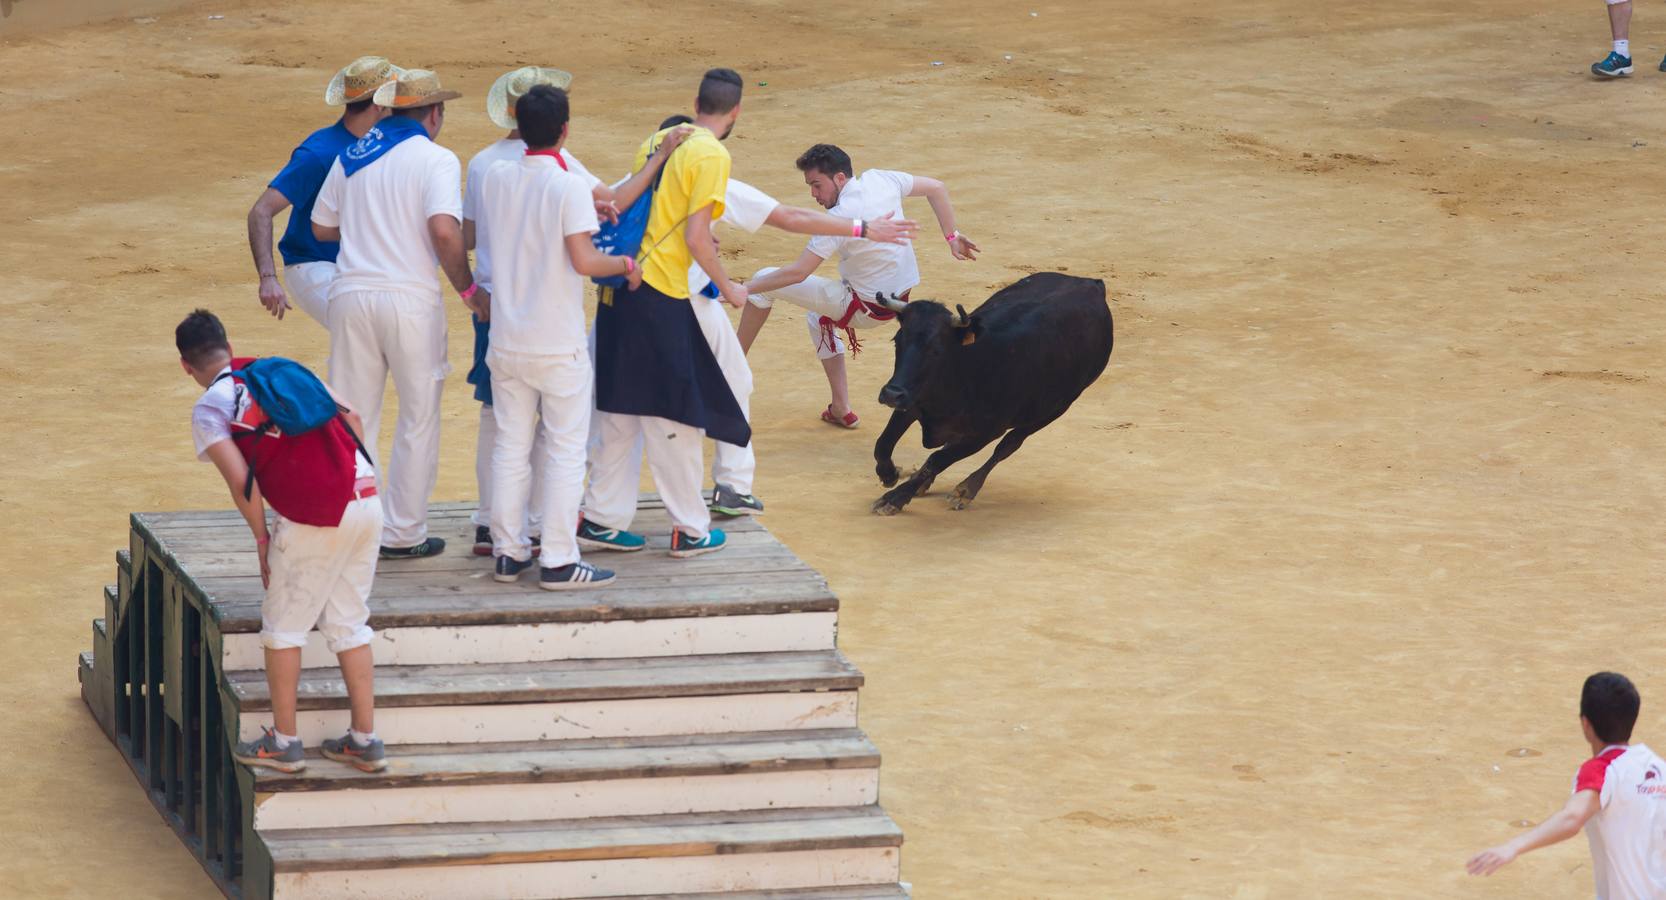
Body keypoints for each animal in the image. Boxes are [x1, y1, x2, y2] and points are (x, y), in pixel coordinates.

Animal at [866, 270, 1112, 516]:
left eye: (936, 350)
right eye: (897, 340)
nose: (891, 394)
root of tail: (1091, 284)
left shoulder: (985, 433)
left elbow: (939, 459)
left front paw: (894, 498)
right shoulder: (912, 401)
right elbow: (883, 444)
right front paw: (890, 475)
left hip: (1058, 407)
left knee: (1008, 445)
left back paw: (966, 489)